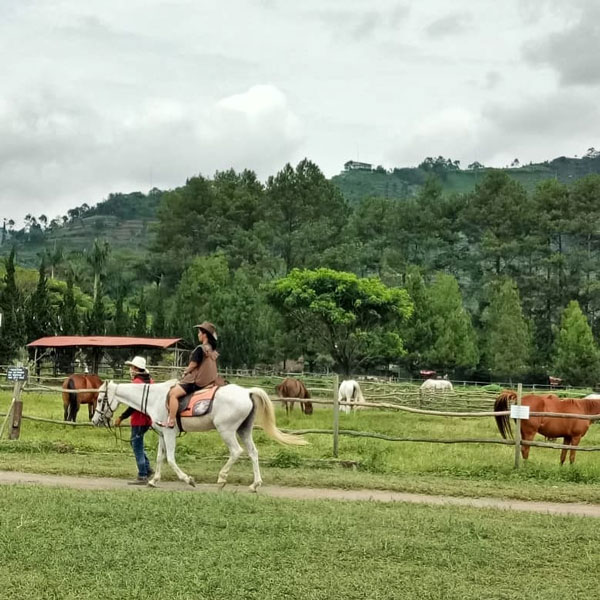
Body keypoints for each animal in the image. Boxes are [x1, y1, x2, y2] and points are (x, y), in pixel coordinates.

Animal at [94, 380, 310, 492]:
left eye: (99, 399)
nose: (95, 420)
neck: (156, 398)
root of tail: (247, 392)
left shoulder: (170, 433)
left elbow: (171, 459)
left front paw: (188, 479)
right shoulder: (163, 435)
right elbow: (160, 458)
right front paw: (153, 480)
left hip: (226, 430)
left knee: (236, 451)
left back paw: (222, 478)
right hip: (244, 430)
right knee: (253, 453)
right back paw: (254, 484)